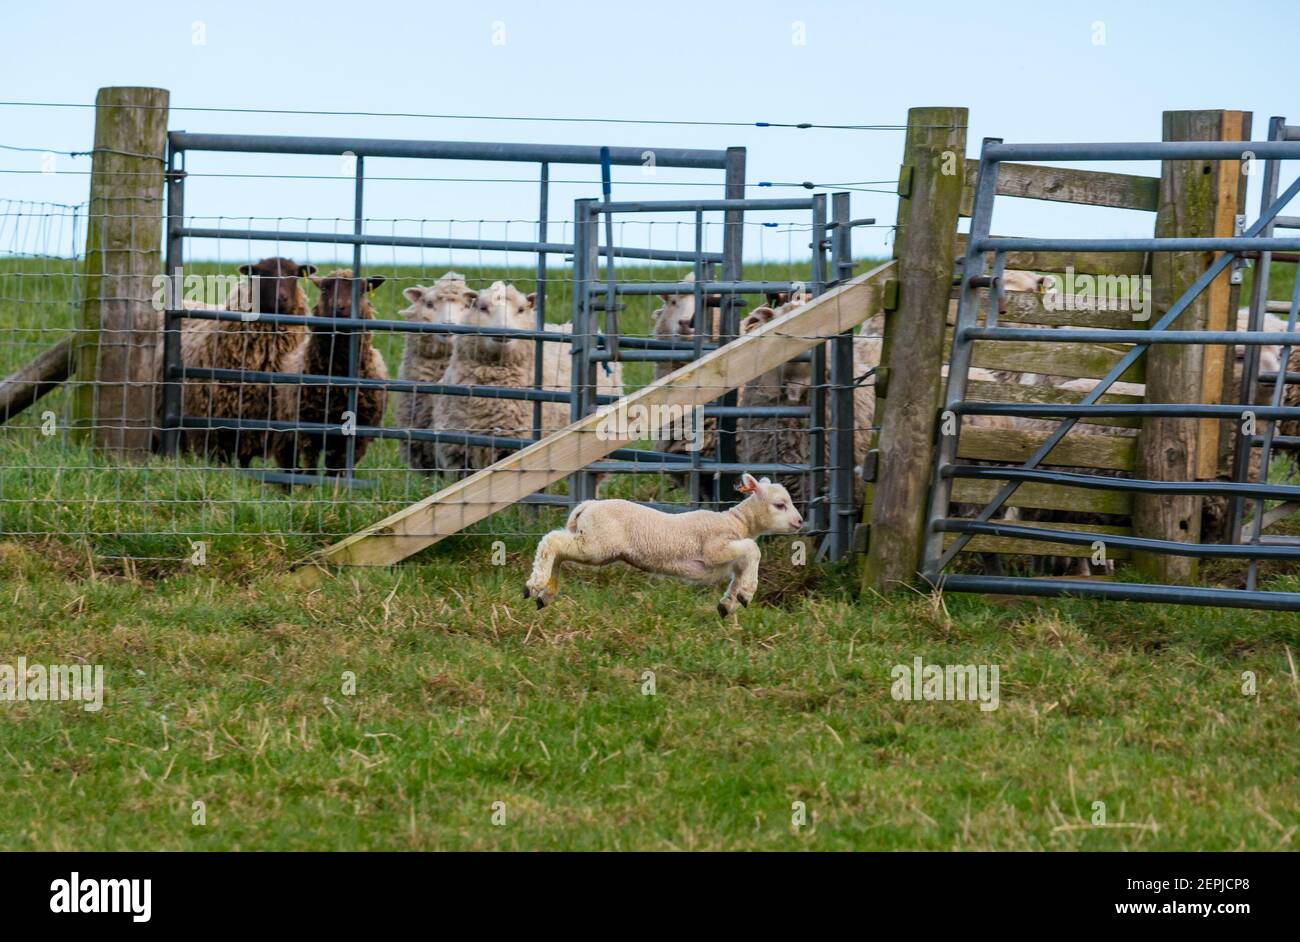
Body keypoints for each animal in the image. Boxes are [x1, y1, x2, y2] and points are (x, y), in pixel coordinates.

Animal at [274, 271, 390, 478]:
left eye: (361, 291)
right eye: (324, 289)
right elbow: (311, 463)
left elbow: (339, 466)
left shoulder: (359, 434)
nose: (340, 307)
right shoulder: (307, 426)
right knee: (287, 456)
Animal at [525, 470, 800, 618]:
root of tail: (588, 505)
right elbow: (754, 550)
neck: (739, 522)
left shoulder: (731, 558)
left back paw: (545, 594)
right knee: (552, 541)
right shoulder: (714, 549)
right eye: (779, 505)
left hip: (589, 540)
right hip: (597, 545)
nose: (799, 521)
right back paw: (534, 585)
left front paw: (730, 603)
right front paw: (747, 593)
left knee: (559, 549)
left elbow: (739, 574)